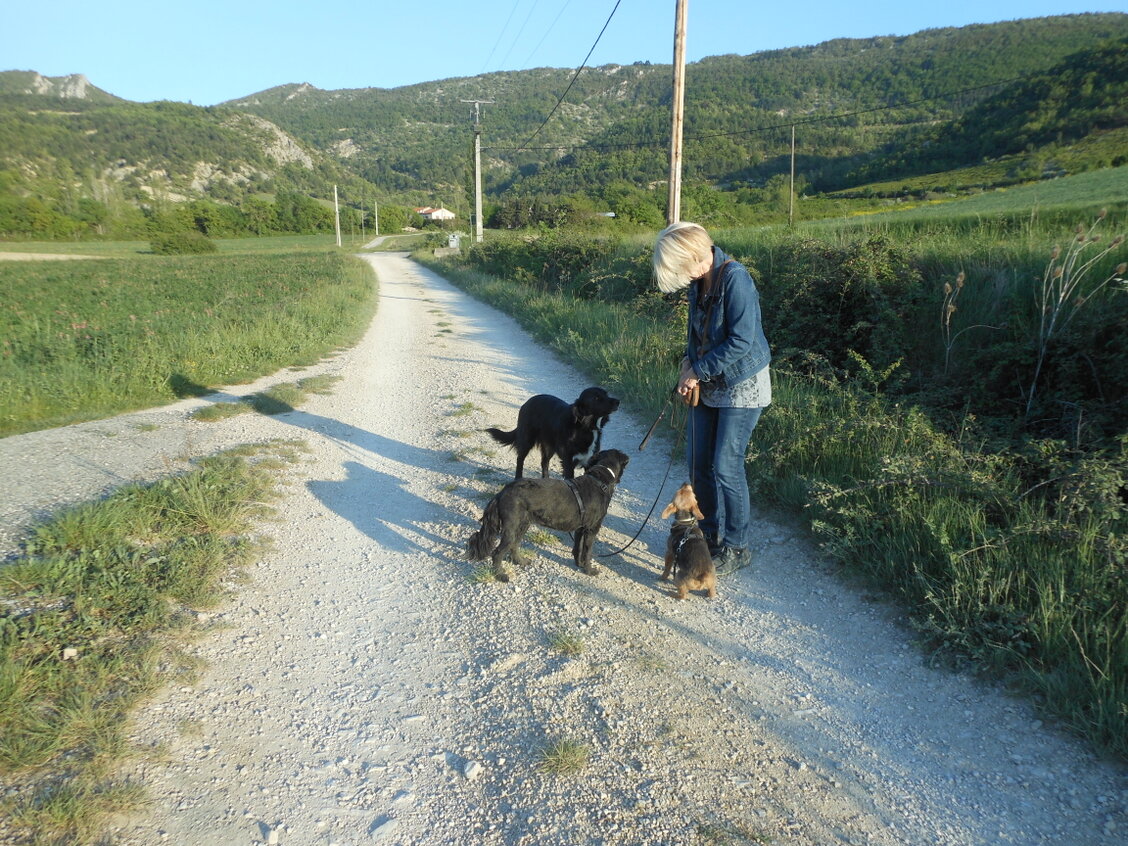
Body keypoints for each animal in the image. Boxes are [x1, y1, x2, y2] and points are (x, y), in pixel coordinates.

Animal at [466, 449, 629, 582]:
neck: (600, 479)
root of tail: (502, 493)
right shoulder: (592, 529)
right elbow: (588, 552)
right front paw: (589, 570)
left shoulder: (580, 528)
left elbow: (578, 549)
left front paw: (579, 564)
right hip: (511, 528)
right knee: (497, 553)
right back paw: (500, 575)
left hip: (522, 525)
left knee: (514, 545)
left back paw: (520, 561)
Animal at [486, 387, 620, 479]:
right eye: (596, 398)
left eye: (606, 394)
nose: (618, 401)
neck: (586, 428)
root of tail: (527, 402)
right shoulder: (568, 462)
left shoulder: (590, 461)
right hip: (527, 439)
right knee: (520, 459)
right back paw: (518, 478)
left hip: (549, 447)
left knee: (544, 462)